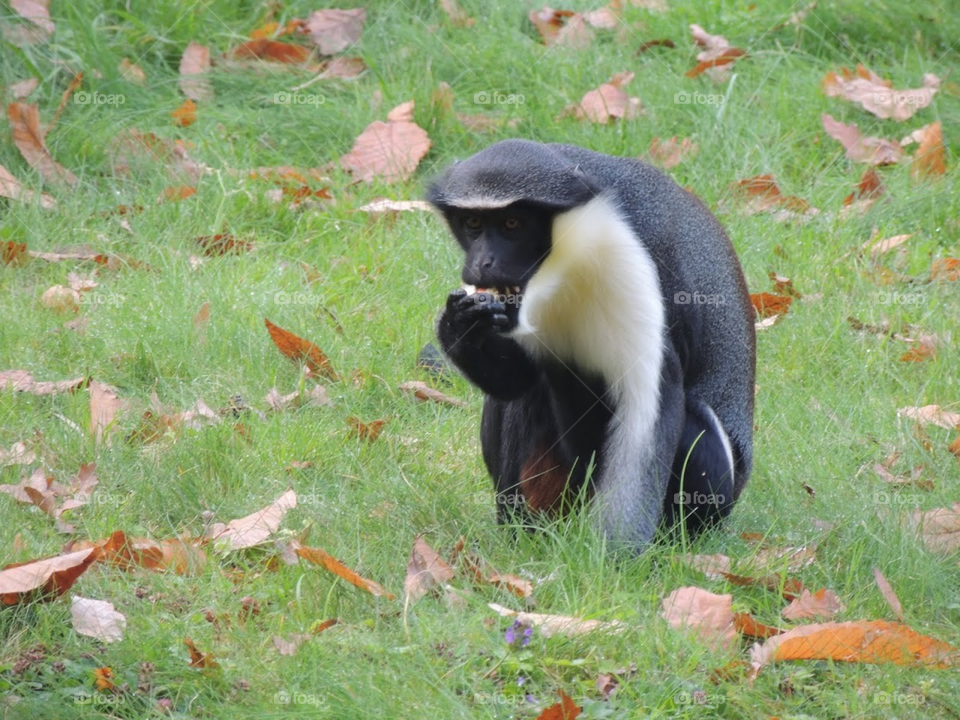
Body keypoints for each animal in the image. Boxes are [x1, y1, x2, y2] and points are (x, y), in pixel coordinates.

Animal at [426, 139, 755, 552]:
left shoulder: (636, 261)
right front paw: (463, 324)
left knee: (695, 423)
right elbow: (516, 382)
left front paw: (614, 557)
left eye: (511, 224)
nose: (480, 263)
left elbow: (646, 410)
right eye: (472, 224)